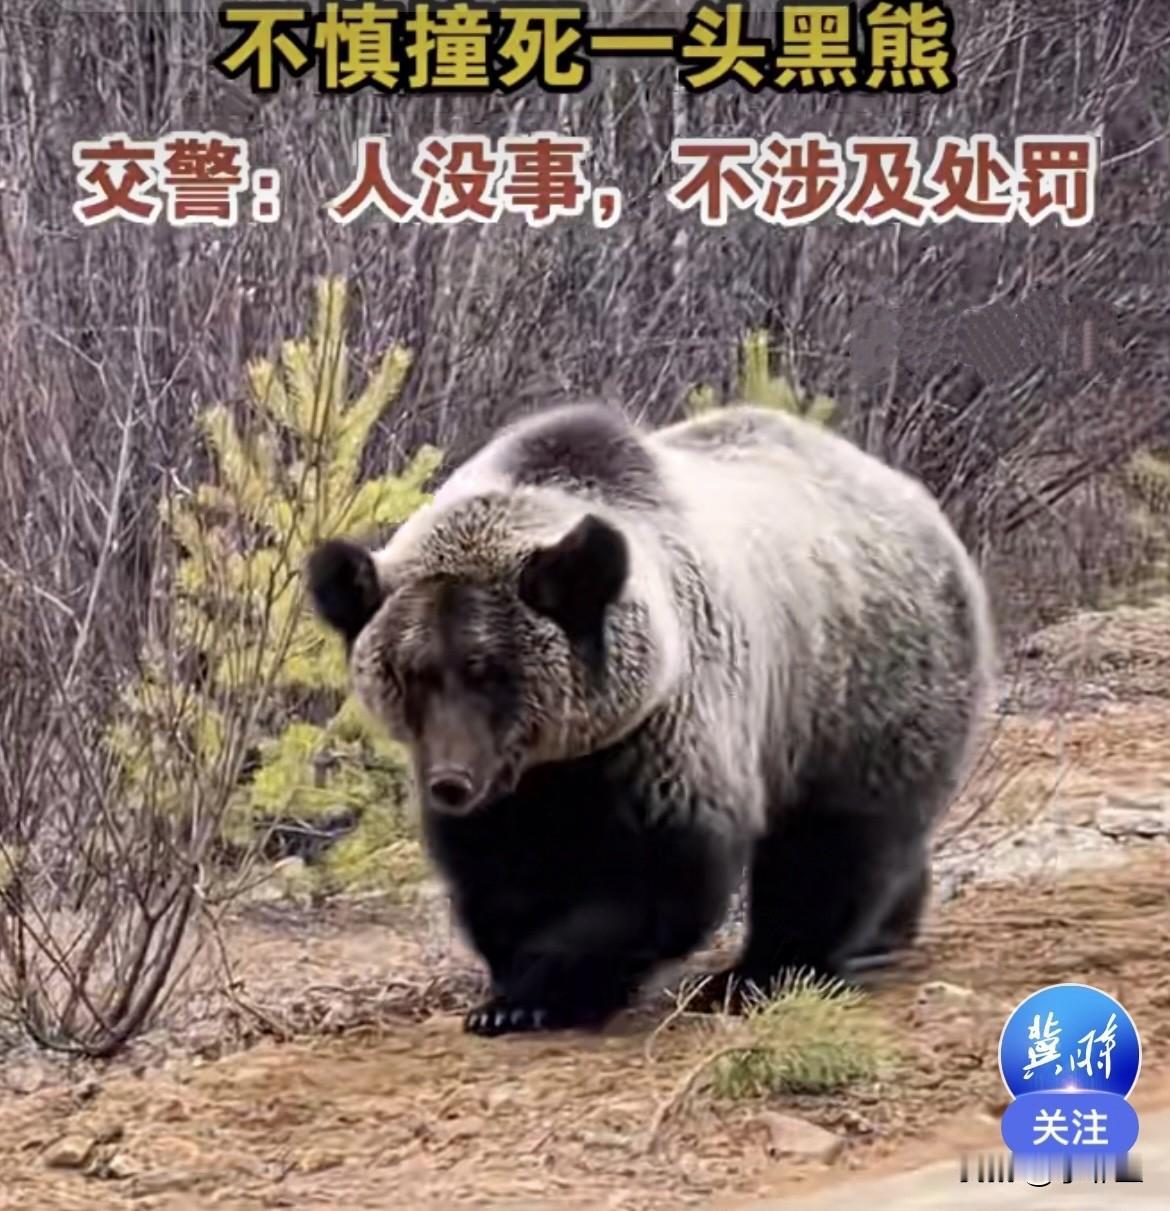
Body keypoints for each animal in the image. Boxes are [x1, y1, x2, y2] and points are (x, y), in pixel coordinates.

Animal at [306, 399, 997, 1038]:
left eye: (487, 668)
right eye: (413, 671)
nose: (452, 780)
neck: (558, 758)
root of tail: (915, 500)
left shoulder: (665, 722)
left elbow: (659, 870)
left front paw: (547, 989)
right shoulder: (516, 782)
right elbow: (499, 869)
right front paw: (508, 989)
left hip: (854, 679)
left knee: (834, 838)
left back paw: (766, 971)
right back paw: (886, 931)